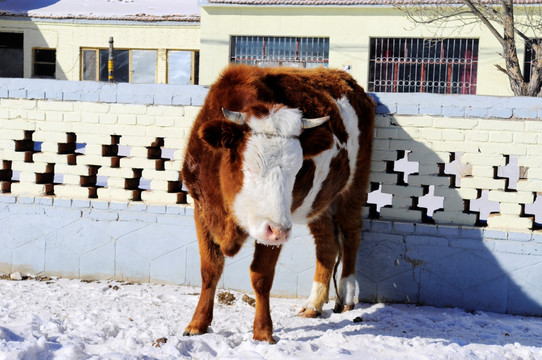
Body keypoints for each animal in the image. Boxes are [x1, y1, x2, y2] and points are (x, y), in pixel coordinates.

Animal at [182, 64, 374, 344]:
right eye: (249, 168)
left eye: (297, 170)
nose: (280, 230)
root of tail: (345, 78)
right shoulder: (202, 209)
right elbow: (209, 270)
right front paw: (198, 323)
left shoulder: (273, 228)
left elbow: (261, 276)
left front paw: (263, 332)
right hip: (318, 202)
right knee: (327, 244)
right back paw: (314, 304)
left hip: (354, 187)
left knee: (351, 233)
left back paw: (347, 293)